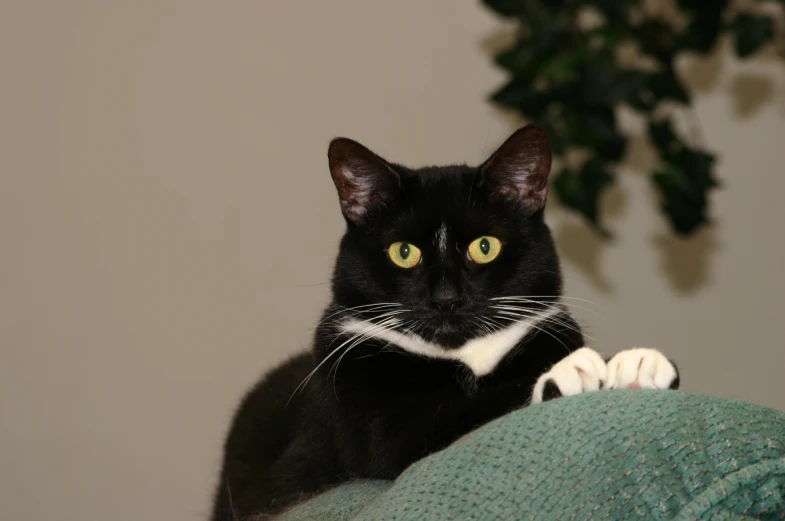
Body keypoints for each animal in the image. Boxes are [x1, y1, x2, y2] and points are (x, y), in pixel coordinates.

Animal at [211, 127, 676, 520]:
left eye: (485, 247)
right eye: (403, 252)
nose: (446, 300)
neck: (466, 355)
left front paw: (636, 364)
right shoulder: (367, 410)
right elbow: (468, 410)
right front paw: (571, 372)